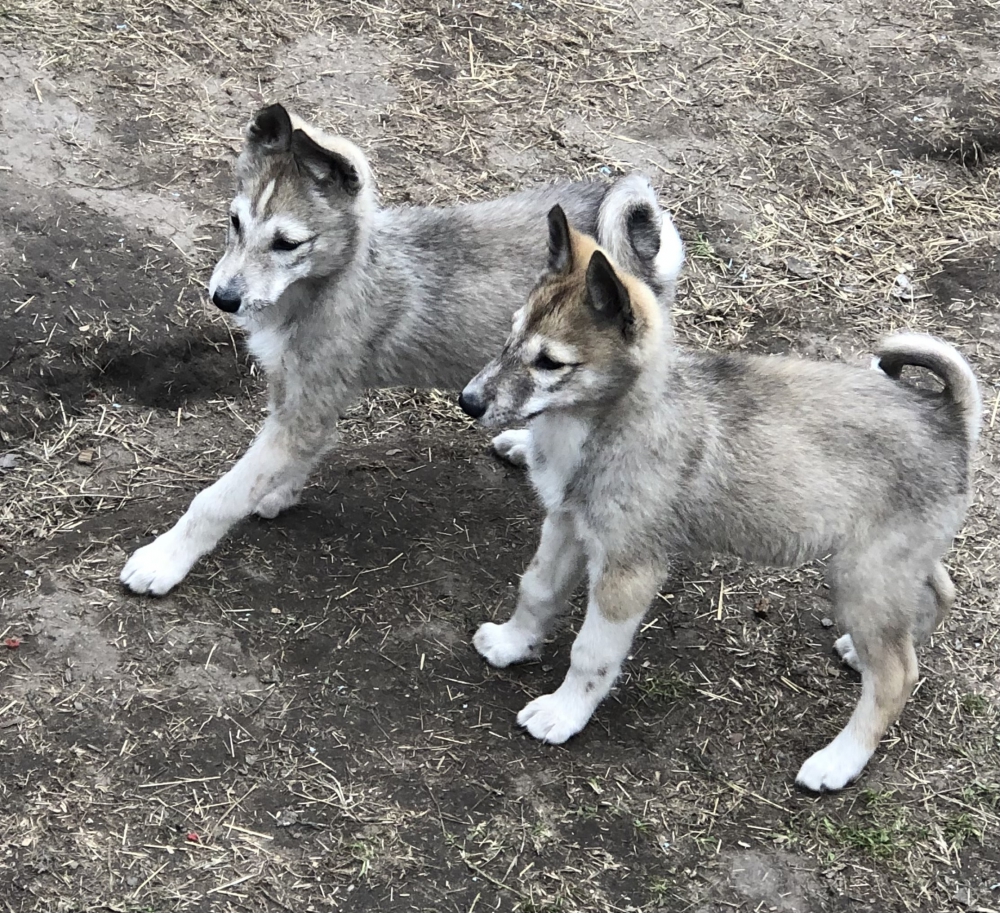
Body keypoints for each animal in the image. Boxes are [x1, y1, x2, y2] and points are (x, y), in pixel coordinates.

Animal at [115, 103, 680, 596]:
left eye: (287, 244)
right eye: (234, 223)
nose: (223, 299)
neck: (328, 283)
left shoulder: (305, 409)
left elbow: (218, 497)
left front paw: (164, 560)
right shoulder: (295, 397)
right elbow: (284, 460)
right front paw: (280, 489)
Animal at [464, 207, 980, 792]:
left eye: (550, 363)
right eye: (509, 336)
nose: (468, 402)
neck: (609, 420)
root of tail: (949, 416)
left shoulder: (627, 572)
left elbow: (591, 652)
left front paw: (563, 713)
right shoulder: (566, 523)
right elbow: (536, 589)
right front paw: (513, 642)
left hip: (863, 576)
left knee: (897, 676)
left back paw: (838, 761)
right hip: (889, 568)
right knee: (938, 595)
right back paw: (860, 652)